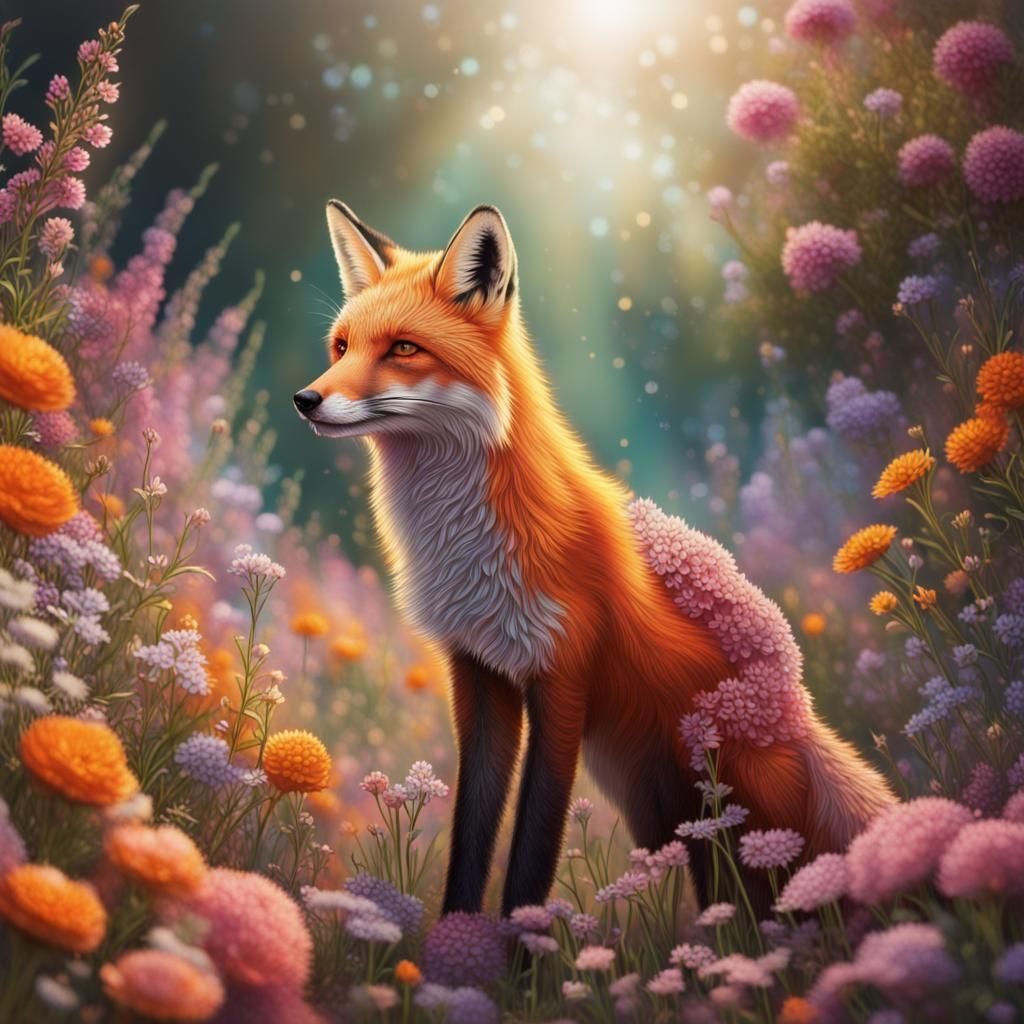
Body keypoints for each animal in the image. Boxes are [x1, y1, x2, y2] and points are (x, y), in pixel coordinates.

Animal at [293, 200, 896, 916]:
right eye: (340, 347)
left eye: (403, 348)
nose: (305, 399)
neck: (467, 553)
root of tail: (798, 712)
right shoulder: (478, 672)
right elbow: (471, 835)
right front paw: (455, 942)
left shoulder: (564, 676)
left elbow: (533, 851)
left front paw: (519, 946)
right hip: (674, 817)